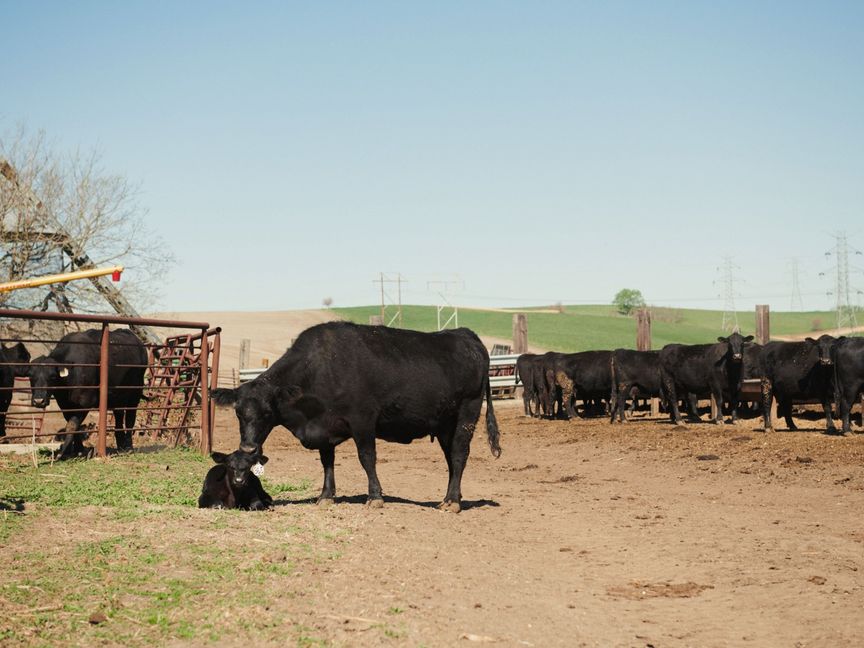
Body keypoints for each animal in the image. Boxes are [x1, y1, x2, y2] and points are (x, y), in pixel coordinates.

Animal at [29, 330, 148, 460]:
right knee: (119, 417)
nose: (39, 401)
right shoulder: (65, 405)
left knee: (130, 418)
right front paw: (78, 450)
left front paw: (61, 453)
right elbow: (74, 426)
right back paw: (121, 445)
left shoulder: (85, 403)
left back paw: (128, 447)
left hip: (135, 394)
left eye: (52, 376)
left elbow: (72, 425)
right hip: (119, 398)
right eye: (31, 376)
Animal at [212, 322, 502, 512]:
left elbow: (367, 458)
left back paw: (452, 502)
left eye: (267, 412)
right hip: (444, 424)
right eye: (238, 412)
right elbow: (327, 462)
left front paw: (375, 497)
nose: (248, 448)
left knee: (459, 454)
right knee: (451, 458)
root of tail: (465, 335)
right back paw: (451, 497)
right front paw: (326, 496)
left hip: (467, 413)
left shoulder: (363, 420)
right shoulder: (324, 428)